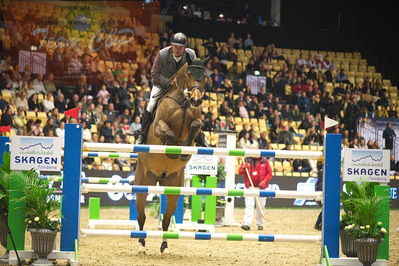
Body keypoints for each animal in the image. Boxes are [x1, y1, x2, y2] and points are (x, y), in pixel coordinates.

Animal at [134, 57, 209, 252]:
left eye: (205, 76)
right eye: (189, 74)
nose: (196, 100)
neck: (182, 102)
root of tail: (160, 177)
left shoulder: (194, 120)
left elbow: (196, 124)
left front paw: (185, 149)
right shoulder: (159, 125)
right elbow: (168, 133)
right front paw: (173, 148)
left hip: (173, 188)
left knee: (166, 220)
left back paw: (164, 245)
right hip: (142, 185)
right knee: (141, 216)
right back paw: (141, 244)